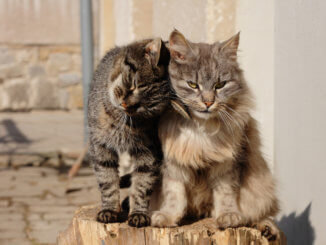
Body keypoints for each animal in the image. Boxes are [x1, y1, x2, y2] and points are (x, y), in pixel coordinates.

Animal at [88, 38, 171, 228]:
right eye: (134, 85)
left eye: (147, 107)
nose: (127, 105)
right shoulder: (99, 145)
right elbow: (107, 180)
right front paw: (109, 210)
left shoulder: (149, 151)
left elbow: (142, 184)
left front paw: (138, 213)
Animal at [152, 30, 278, 239]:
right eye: (193, 85)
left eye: (220, 85)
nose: (208, 102)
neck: (201, 129)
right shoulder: (174, 162)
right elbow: (174, 194)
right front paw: (168, 217)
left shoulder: (227, 163)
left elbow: (226, 194)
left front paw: (228, 216)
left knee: (259, 214)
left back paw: (267, 228)